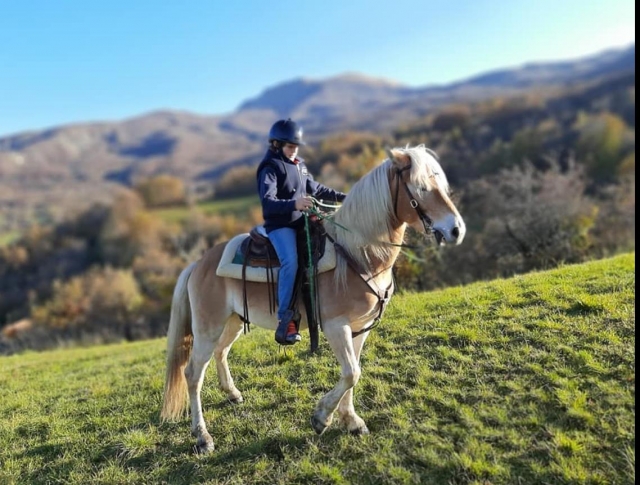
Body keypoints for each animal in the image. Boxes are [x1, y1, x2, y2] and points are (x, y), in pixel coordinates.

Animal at [160, 144, 466, 453]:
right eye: (421, 187)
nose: (456, 230)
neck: (357, 254)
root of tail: (198, 264)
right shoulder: (335, 325)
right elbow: (351, 372)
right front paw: (321, 418)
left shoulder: (360, 328)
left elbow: (353, 371)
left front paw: (351, 421)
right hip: (207, 327)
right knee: (193, 374)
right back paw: (202, 436)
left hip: (233, 321)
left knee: (221, 352)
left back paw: (232, 394)